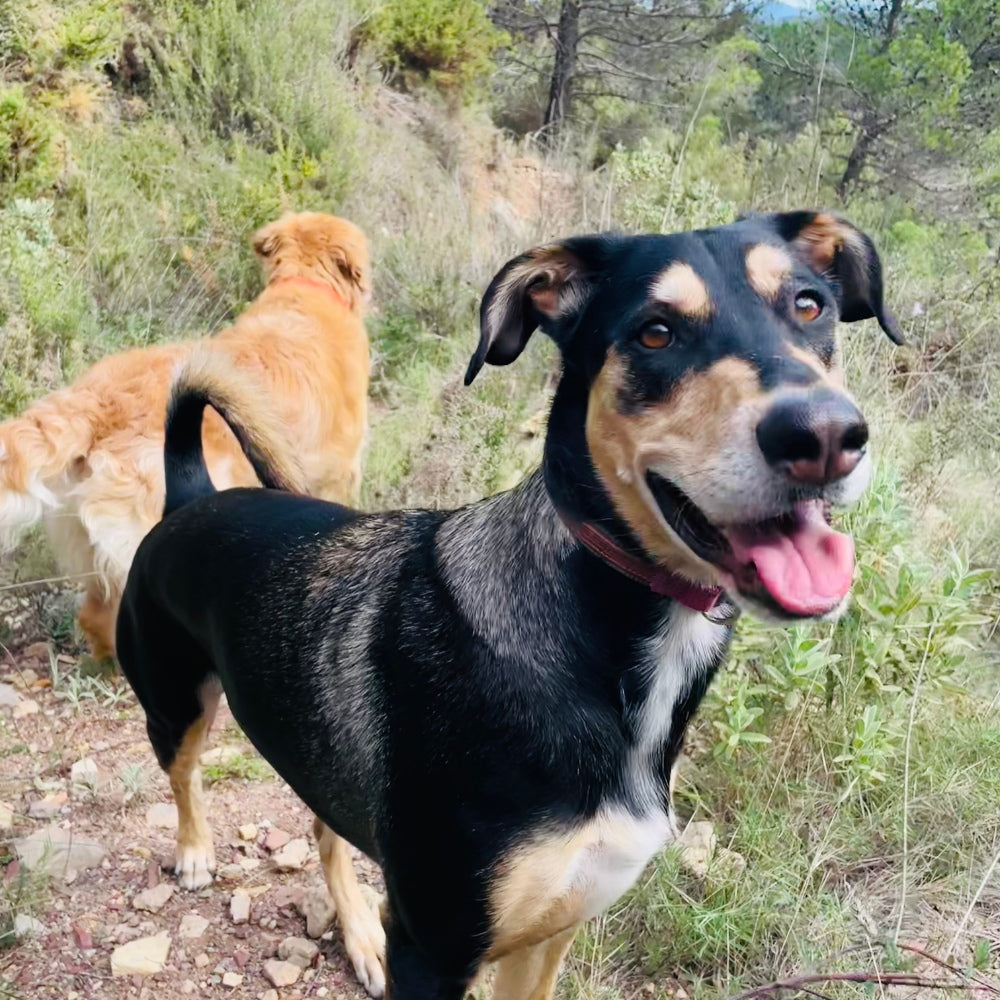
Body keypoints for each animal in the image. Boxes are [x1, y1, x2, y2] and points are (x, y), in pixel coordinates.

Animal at [115, 211, 900, 1000]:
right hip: (175, 705)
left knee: (322, 828)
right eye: (655, 333)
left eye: (809, 305)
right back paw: (195, 851)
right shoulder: (433, 947)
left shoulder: (552, 931)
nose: (825, 436)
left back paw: (358, 931)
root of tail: (190, 494)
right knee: (184, 775)